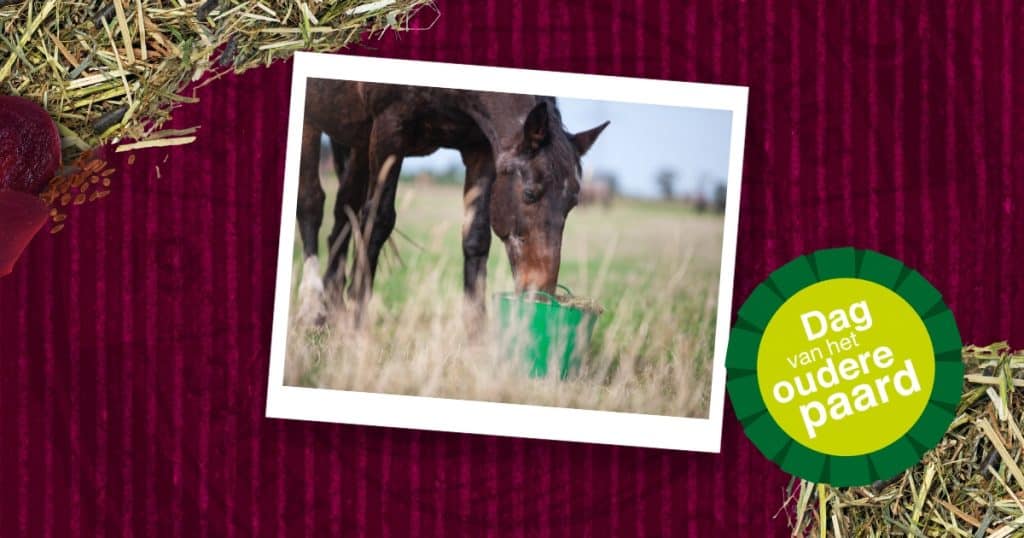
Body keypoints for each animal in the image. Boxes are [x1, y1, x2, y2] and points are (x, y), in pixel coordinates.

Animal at [294, 78, 606, 323]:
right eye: (529, 193)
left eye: (572, 205)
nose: (539, 291)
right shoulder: (390, 127)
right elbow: (378, 218)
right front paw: (356, 326)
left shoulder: (479, 148)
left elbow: (476, 238)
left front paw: (475, 339)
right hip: (313, 122)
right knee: (311, 202)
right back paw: (312, 307)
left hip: (357, 140)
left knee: (343, 211)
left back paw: (332, 306)